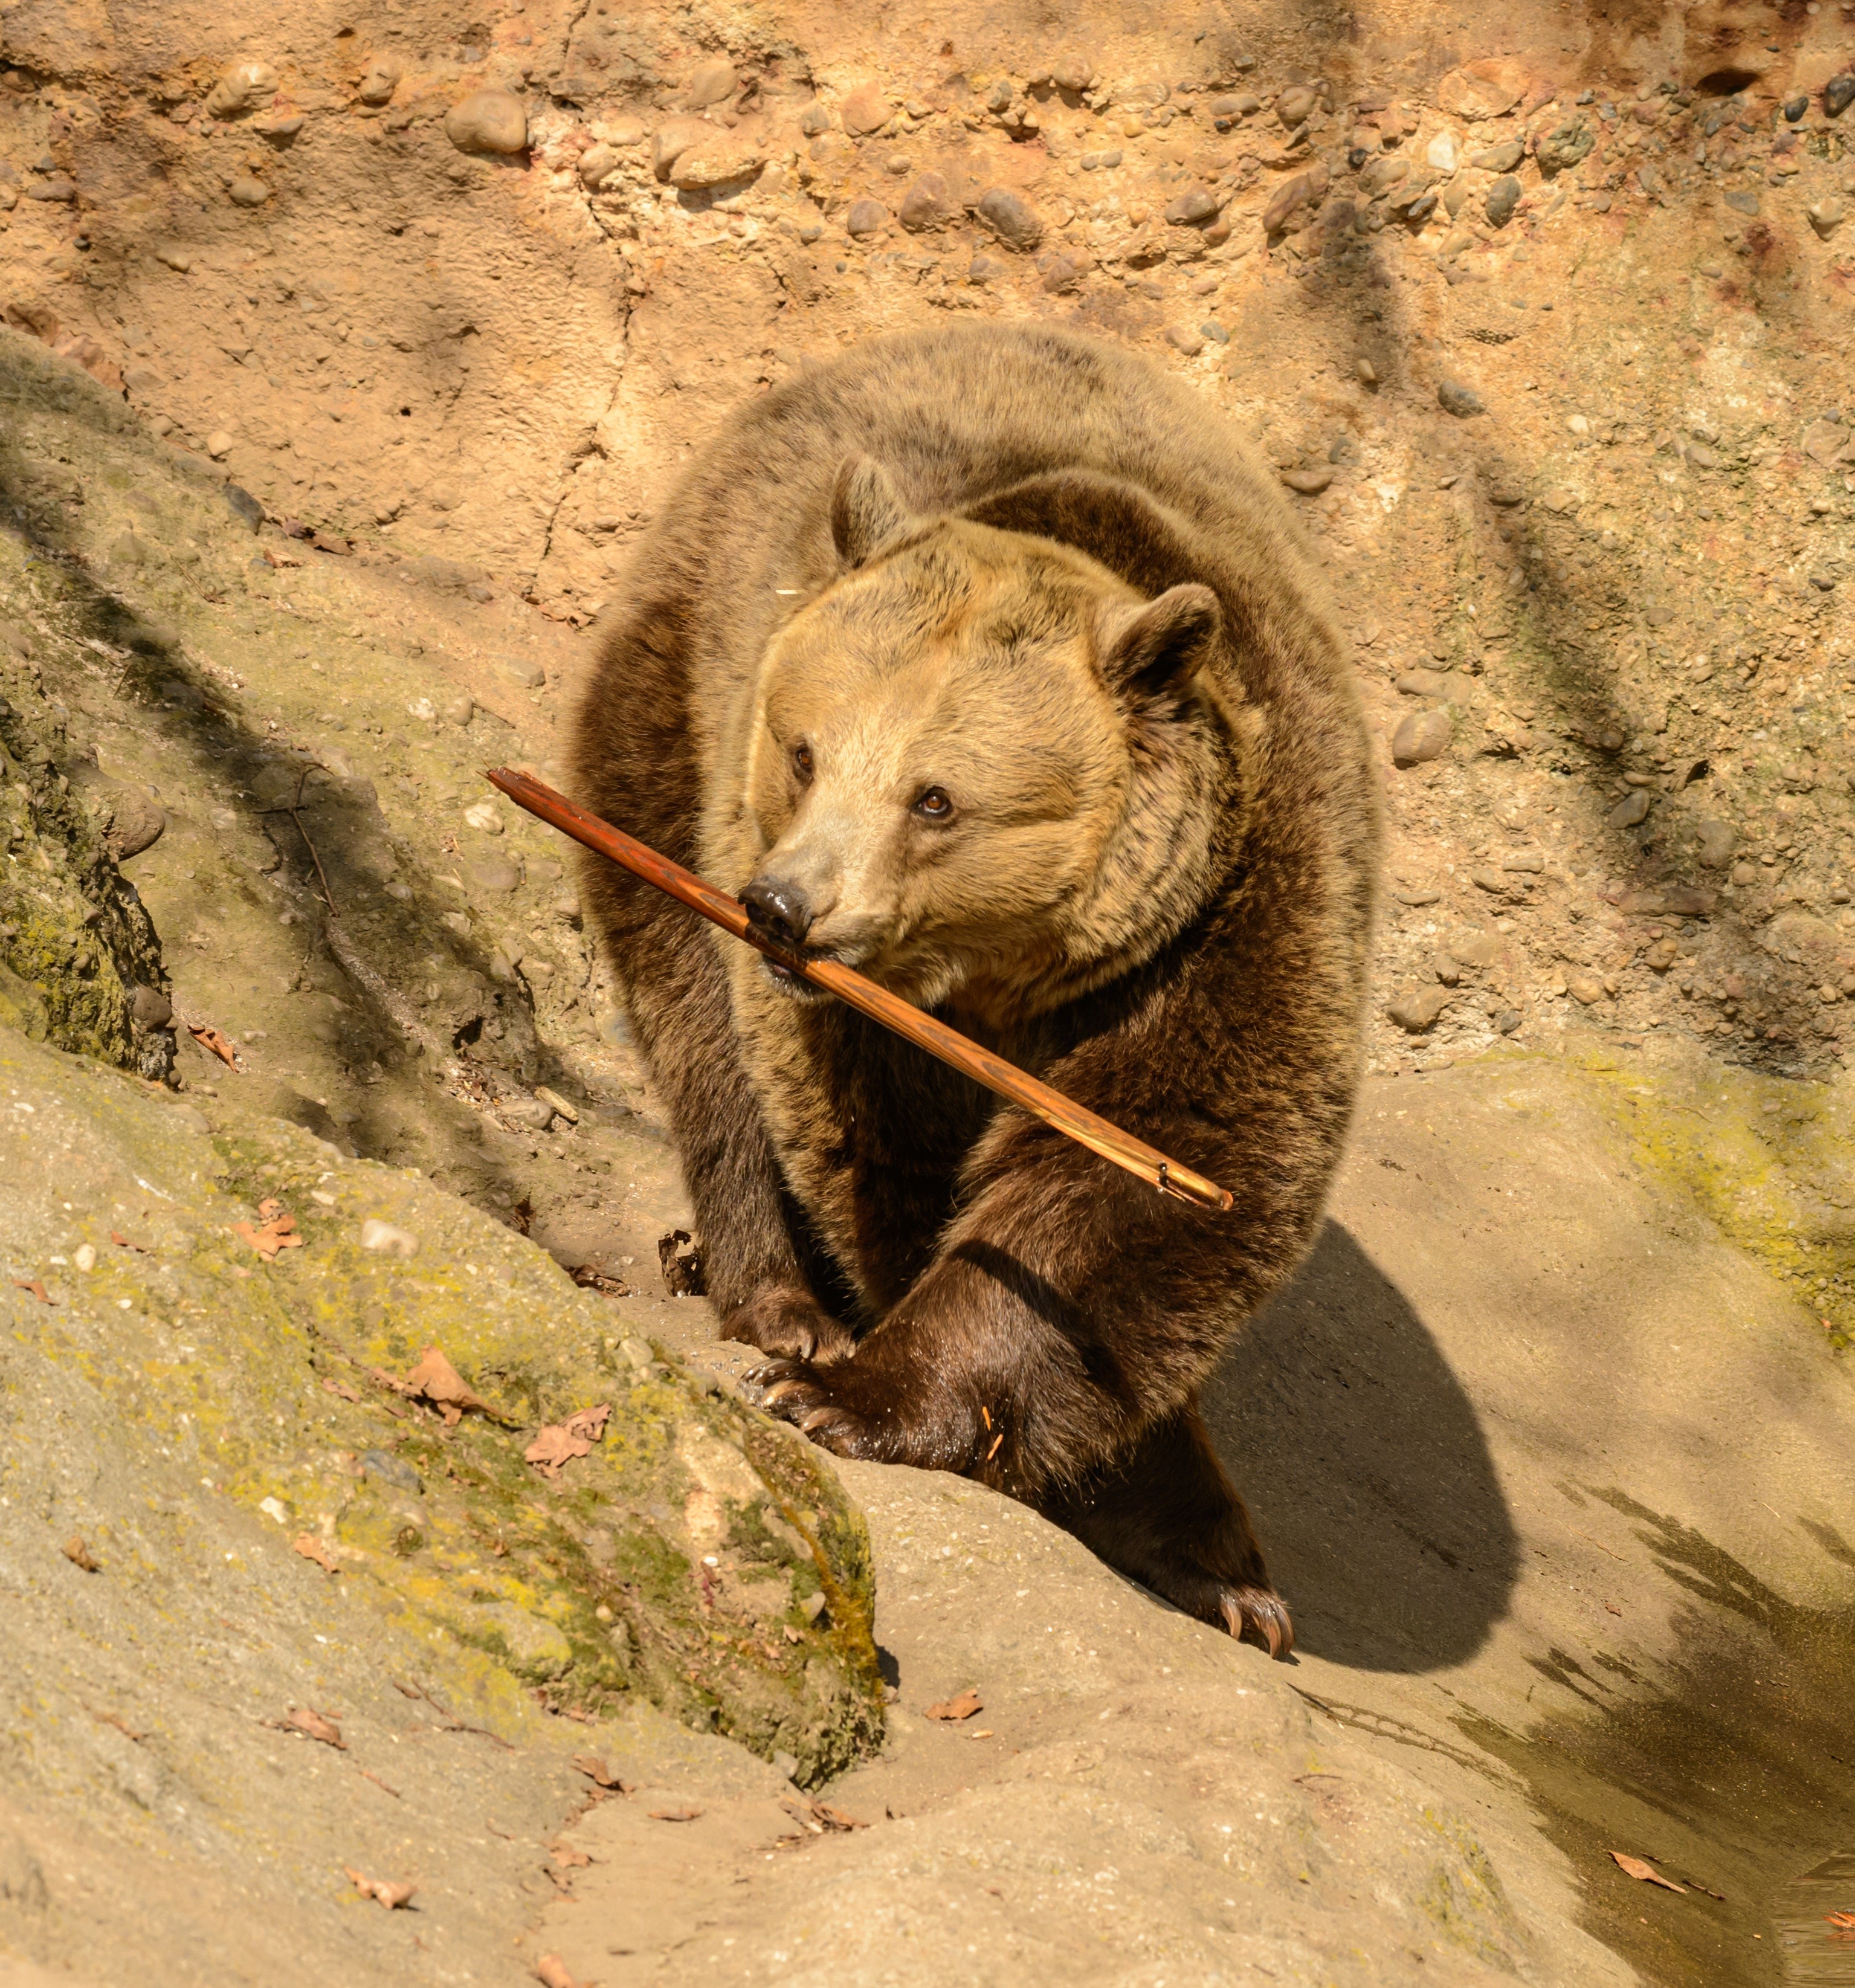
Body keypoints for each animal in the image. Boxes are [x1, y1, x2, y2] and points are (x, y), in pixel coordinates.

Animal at [573, 324, 1377, 1657]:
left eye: (935, 798)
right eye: (806, 750)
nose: (785, 908)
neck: (1008, 970)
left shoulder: (1229, 914)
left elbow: (1139, 1184)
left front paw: (1215, 1558)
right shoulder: (853, 1005)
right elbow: (878, 1150)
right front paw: (829, 1376)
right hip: (671, 703)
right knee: (693, 1014)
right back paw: (775, 1296)